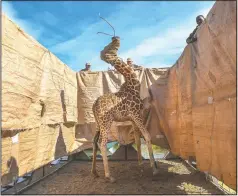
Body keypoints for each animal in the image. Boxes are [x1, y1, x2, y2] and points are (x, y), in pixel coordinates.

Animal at [91, 36, 158, 182]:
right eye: (109, 47)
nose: (116, 38)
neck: (133, 85)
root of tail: (94, 104)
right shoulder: (136, 114)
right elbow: (147, 136)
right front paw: (154, 169)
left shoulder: (133, 118)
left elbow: (138, 140)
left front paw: (141, 166)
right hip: (106, 121)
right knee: (102, 143)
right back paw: (109, 176)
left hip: (98, 123)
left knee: (95, 141)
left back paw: (95, 172)